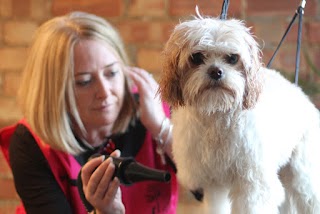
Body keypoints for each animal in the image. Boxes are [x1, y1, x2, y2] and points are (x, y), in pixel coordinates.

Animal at [159, 12, 320, 214]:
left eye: (232, 58)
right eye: (196, 57)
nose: (215, 71)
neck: (217, 115)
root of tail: (302, 95)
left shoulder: (253, 185)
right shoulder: (214, 184)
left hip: (303, 176)